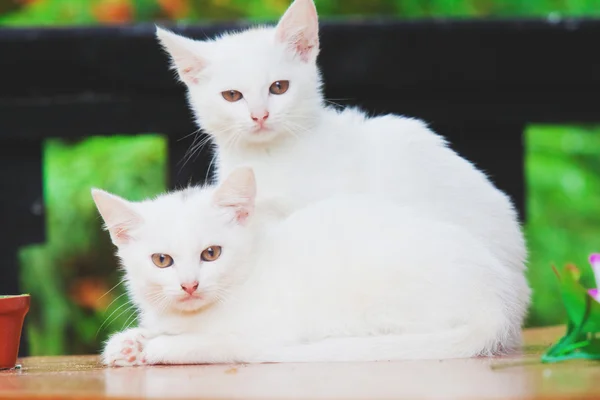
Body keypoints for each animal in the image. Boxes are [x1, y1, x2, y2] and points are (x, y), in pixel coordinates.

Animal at [91, 167, 528, 368]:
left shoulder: (263, 335)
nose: (189, 285)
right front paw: (130, 343)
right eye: (161, 261)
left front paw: (160, 347)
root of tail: (498, 307)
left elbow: (214, 344)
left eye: (211, 254)